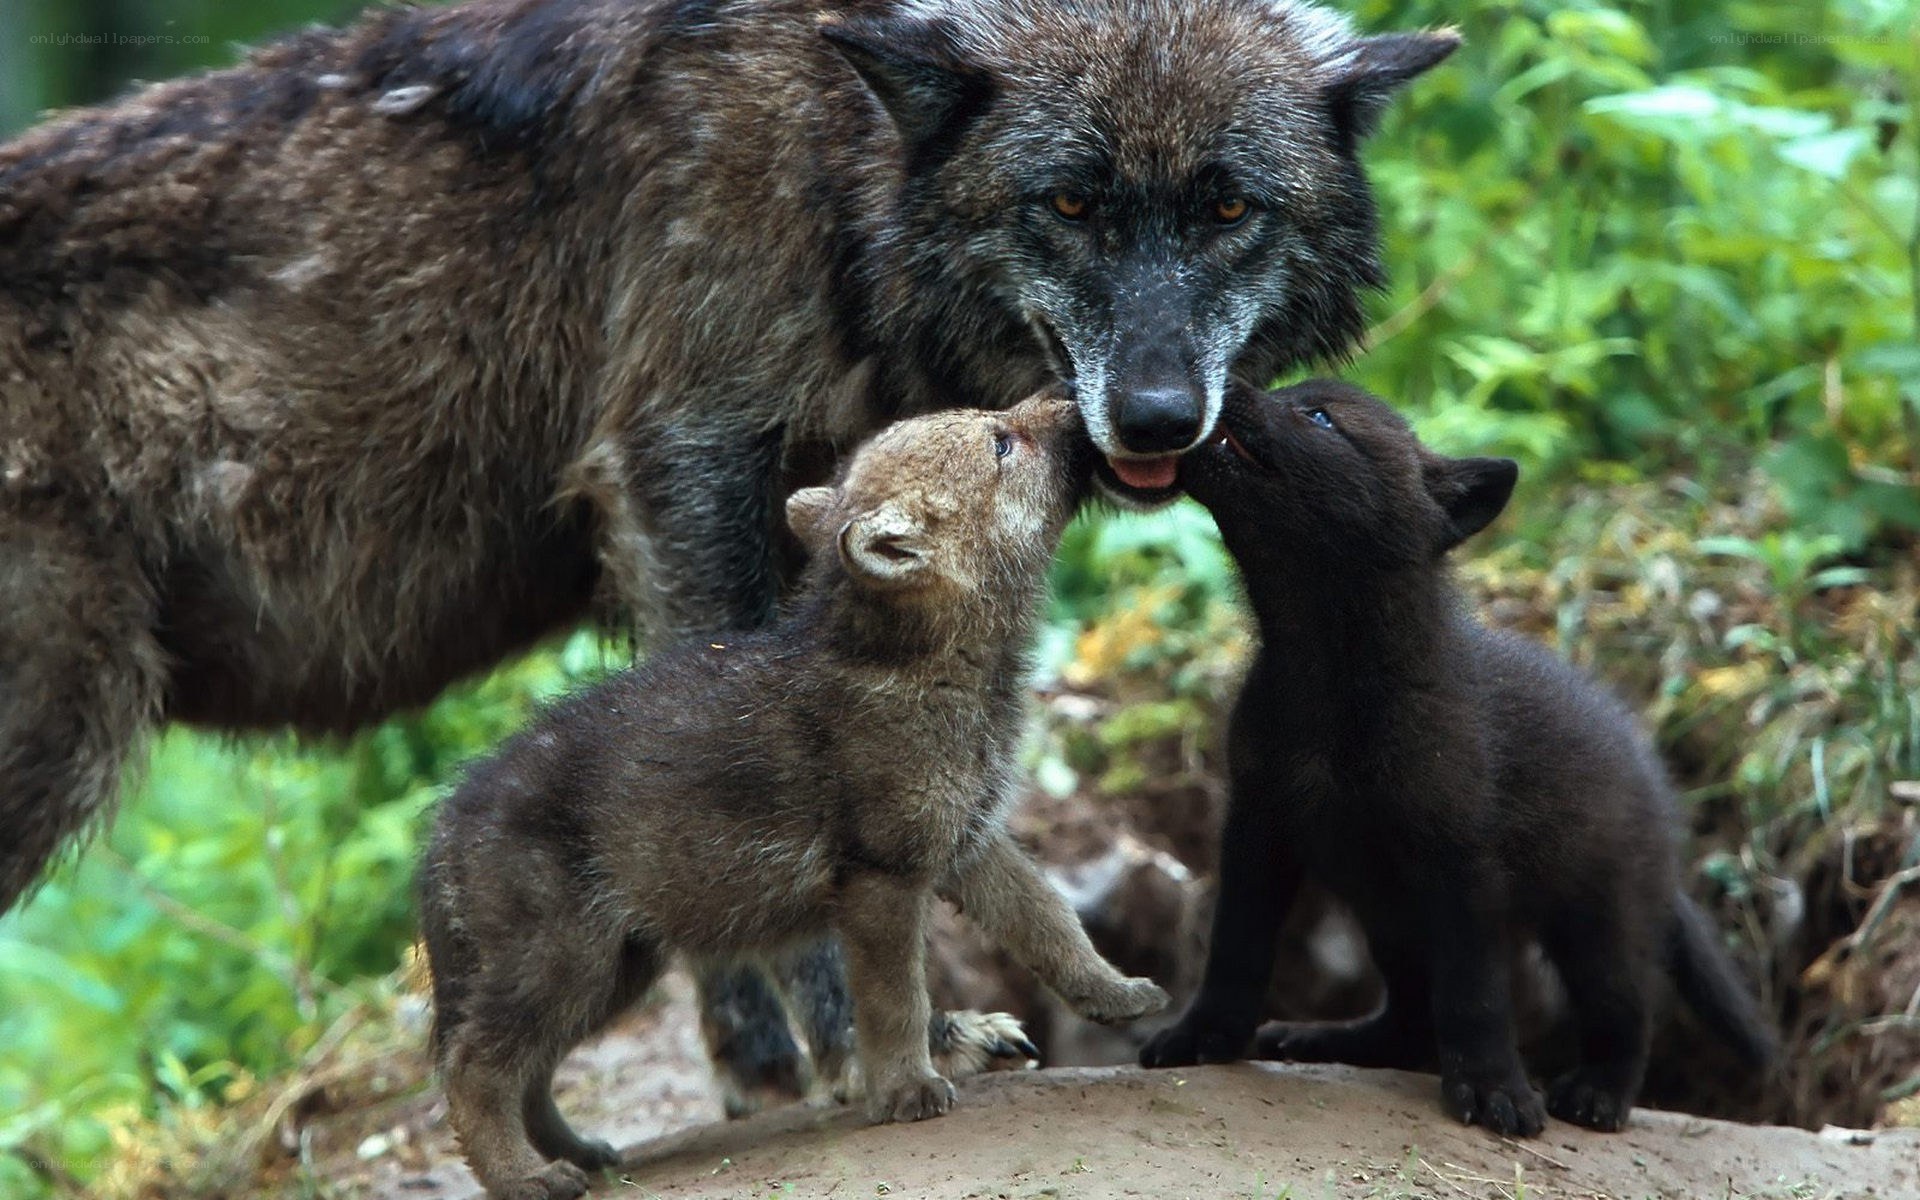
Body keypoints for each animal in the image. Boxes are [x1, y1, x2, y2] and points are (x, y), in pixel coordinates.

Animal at [0, 0, 1452, 1108]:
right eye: (1072, 201)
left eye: (1227, 207)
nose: (1157, 418)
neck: (838, 161)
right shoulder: (679, 471)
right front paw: (870, 1046)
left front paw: (759, 1055)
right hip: (61, 751)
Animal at [420, 392, 1167, 1199]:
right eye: (1001, 442)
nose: (1067, 399)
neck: (929, 668)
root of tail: (443, 828)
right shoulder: (879, 878)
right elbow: (894, 998)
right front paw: (907, 1091)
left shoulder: (969, 843)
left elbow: (1053, 925)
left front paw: (1119, 993)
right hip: (562, 960)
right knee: (474, 1069)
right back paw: (525, 1179)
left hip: (615, 967)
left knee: (526, 1072)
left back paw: (581, 1155)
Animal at [1138, 380, 1776, 1135]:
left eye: (1319, 416)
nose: (1223, 384)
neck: (1328, 681)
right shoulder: (1258, 827)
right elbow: (1234, 951)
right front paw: (1202, 1037)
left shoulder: (1461, 860)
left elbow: (1476, 994)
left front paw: (1494, 1088)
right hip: (1390, 915)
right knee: (1410, 1018)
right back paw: (1326, 1039)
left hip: (1600, 919)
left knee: (1625, 1012)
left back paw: (1598, 1094)